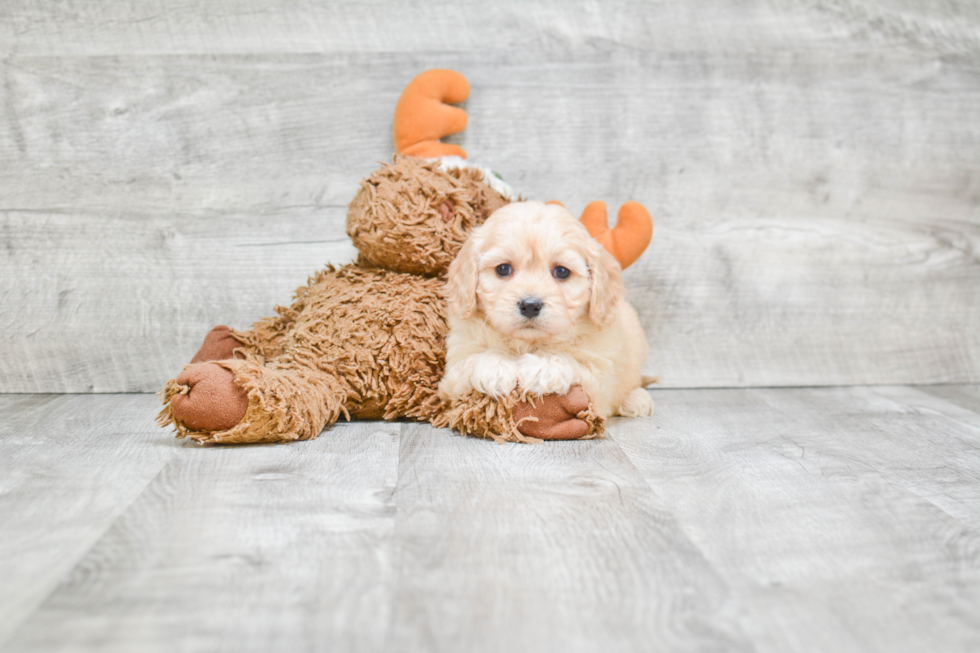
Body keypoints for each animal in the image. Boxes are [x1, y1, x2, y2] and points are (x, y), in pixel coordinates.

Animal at [440, 199, 656, 418]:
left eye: (562, 271)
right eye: (503, 269)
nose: (530, 305)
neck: (528, 342)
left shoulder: (601, 380)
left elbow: (575, 363)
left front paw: (543, 366)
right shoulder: (451, 378)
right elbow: (469, 362)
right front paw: (495, 366)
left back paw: (636, 399)